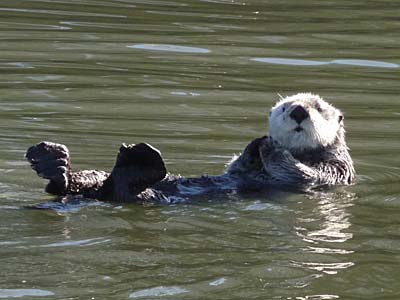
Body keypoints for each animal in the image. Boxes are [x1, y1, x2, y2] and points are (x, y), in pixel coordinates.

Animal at [25, 93, 356, 204]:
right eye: (286, 106)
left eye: (319, 107)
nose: (299, 111)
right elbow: (236, 166)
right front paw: (255, 145)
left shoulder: (336, 167)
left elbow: (303, 174)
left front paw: (271, 147)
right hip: (95, 181)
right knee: (73, 182)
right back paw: (51, 159)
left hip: (140, 192)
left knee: (124, 184)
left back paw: (138, 158)